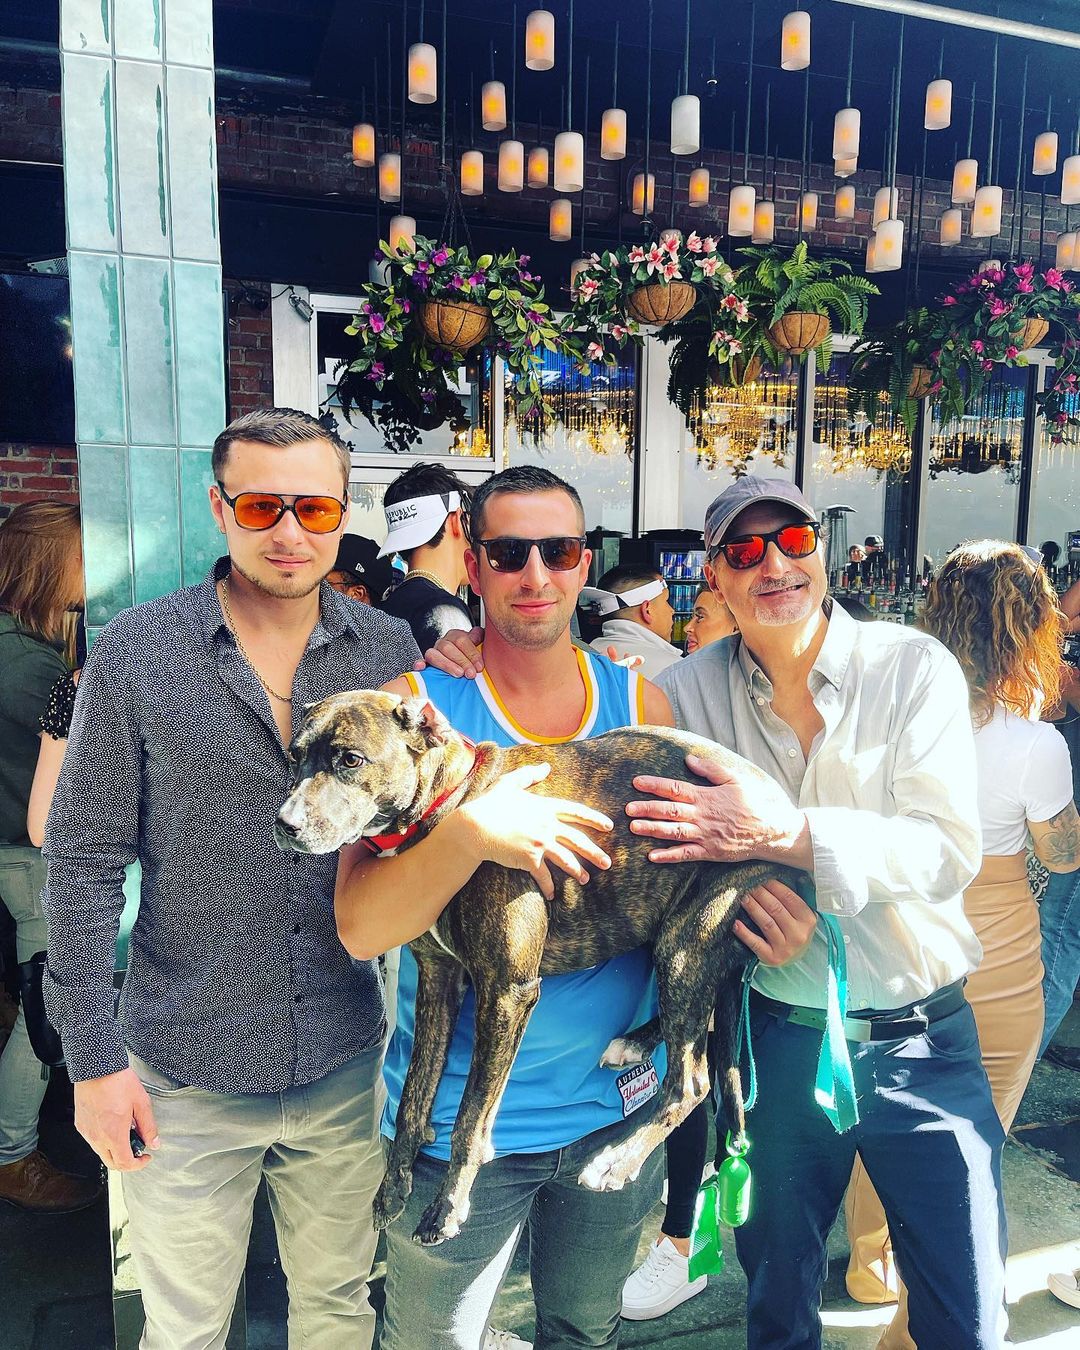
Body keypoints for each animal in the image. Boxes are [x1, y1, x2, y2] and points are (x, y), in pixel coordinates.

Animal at [276, 690, 800, 1246]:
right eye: (295, 756)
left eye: (350, 760)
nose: (285, 825)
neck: (454, 805)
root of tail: (785, 814)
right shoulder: (439, 981)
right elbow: (415, 1096)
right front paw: (393, 1186)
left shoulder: (508, 991)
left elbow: (471, 1116)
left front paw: (448, 1207)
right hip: (669, 931)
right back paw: (635, 1042)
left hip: (689, 938)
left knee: (692, 1082)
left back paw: (617, 1160)